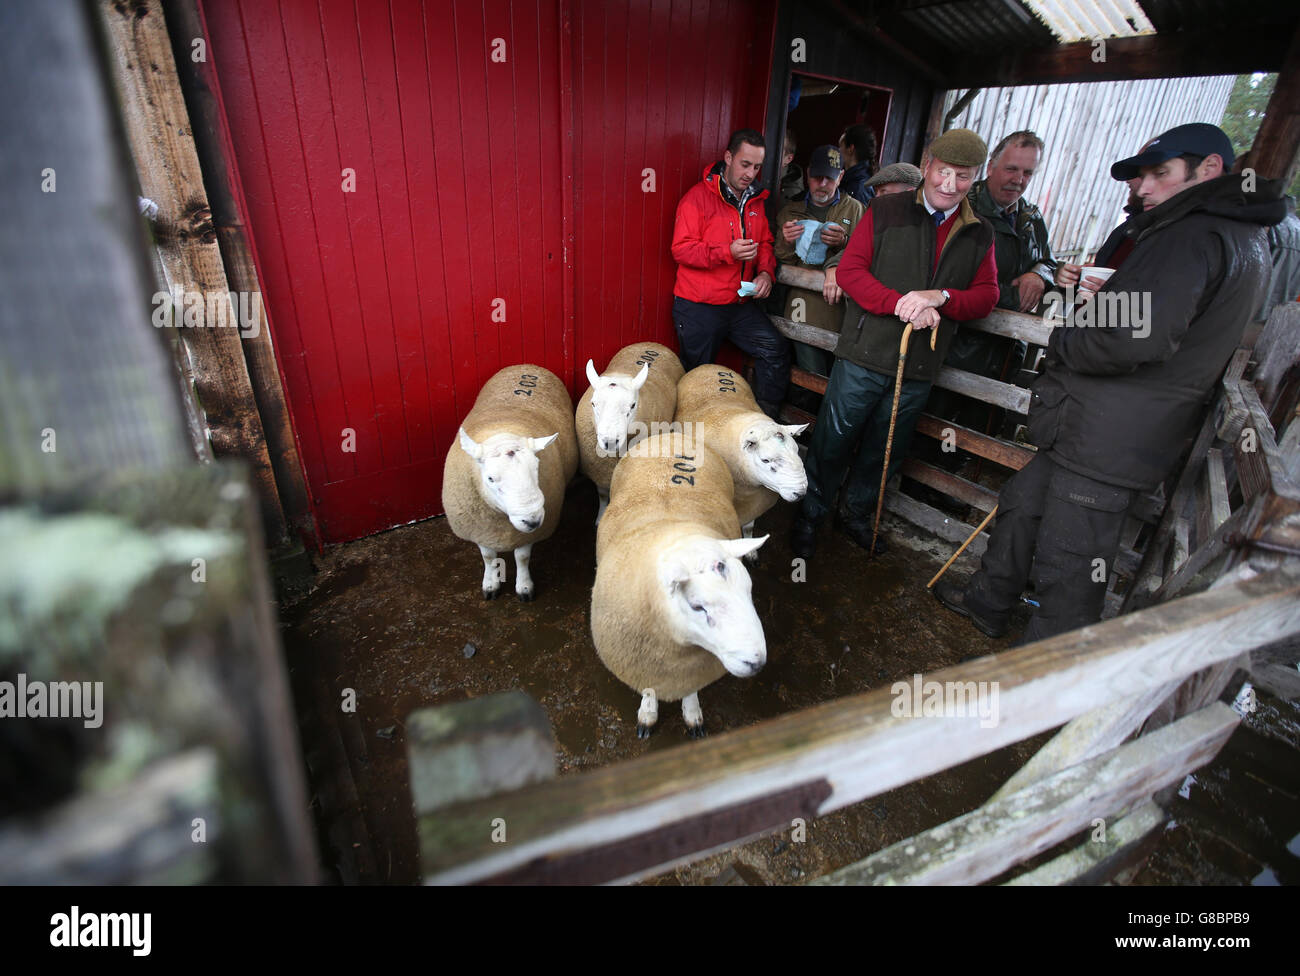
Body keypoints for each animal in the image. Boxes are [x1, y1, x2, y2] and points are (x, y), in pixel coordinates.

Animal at [441, 363, 574, 600]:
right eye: (490, 478)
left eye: (537, 468)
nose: (532, 521)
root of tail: (527, 365)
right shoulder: (480, 529)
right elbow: (488, 557)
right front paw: (491, 584)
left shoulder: (526, 535)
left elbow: (522, 558)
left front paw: (524, 587)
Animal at [574, 343, 686, 527]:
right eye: (593, 404)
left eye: (633, 405)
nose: (610, 442)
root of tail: (651, 343)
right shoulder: (599, 470)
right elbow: (603, 495)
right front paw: (600, 518)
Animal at [592, 431, 764, 738]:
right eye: (698, 607)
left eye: (749, 590)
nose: (756, 662)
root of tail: (671, 434)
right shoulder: (644, 664)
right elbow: (649, 690)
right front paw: (648, 713)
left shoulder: (692, 670)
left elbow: (691, 693)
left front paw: (692, 714)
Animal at [676, 363, 806, 556]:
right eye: (765, 460)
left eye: (797, 451)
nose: (801, 493)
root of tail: (710, 365)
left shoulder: (754, 504)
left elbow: (749, 528)